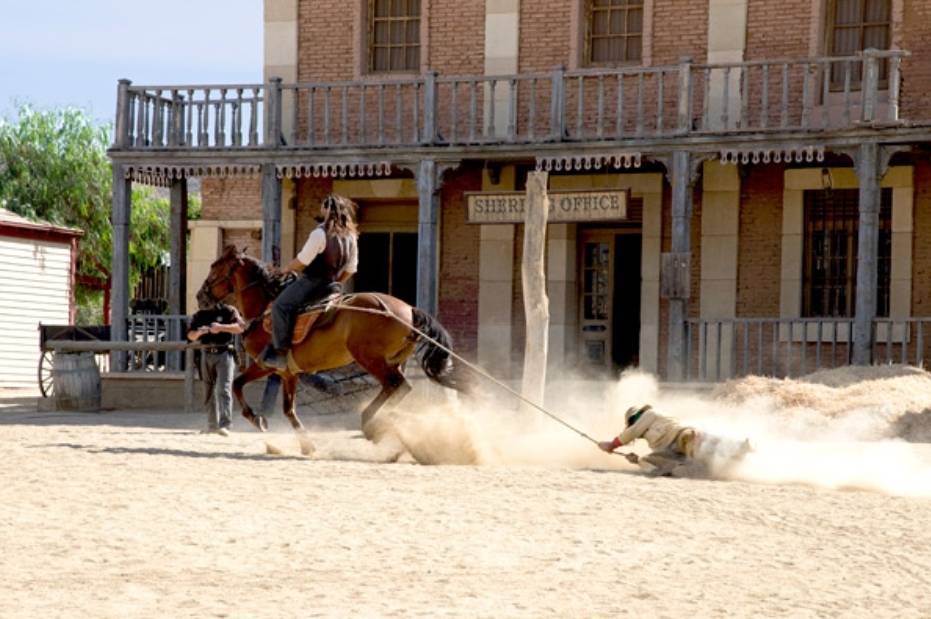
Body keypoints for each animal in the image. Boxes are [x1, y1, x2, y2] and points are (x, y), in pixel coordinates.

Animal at [198, 245, 462, 452]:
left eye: (214, 267)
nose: (201, 296)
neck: (266, 308)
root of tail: (407, 310)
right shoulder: (288, 373)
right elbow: (288, 409)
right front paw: (306, 445)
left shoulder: (266, 364)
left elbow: (237, 384)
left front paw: (256, 418)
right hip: (393, 361)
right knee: (399, 387)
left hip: (370, 359)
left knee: (396, 385)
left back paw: (369, 422)